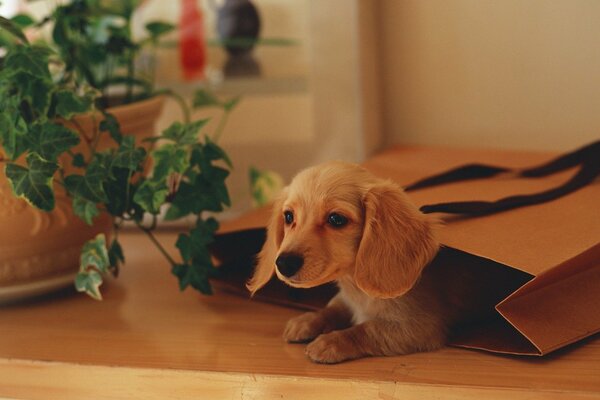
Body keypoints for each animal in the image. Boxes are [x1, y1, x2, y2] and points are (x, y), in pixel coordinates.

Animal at [247, 161, 488, 364]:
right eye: (288, 216)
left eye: (336, 219)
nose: (284, 263)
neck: (356, 288)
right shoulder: (345, 300)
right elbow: (333, 308)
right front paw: (308, 320)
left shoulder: (420, 326)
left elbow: (367, 329)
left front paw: (331, 341)